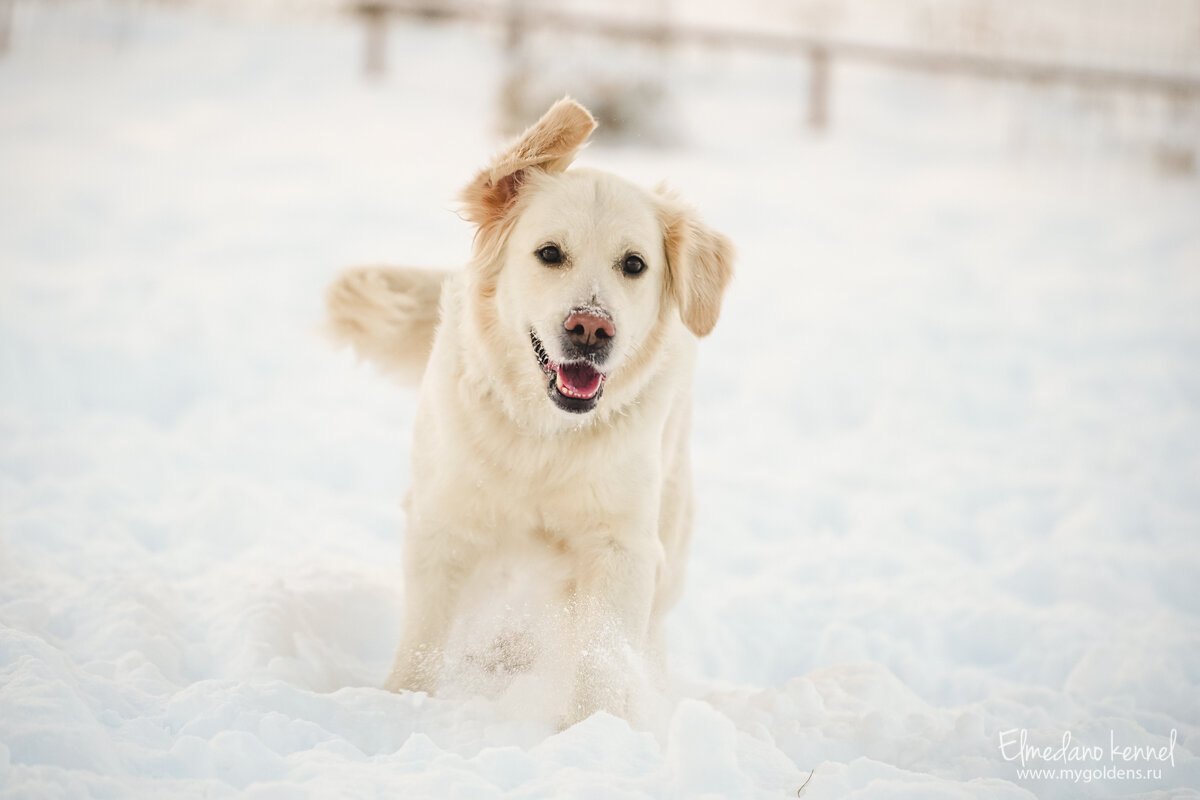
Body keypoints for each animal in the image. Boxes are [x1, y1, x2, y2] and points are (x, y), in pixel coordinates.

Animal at [331, 98, 739, 724]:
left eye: (634, 264)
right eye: (550, 254)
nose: (591, 328)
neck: (545, 437)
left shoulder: (621, 545)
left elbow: (602, 656)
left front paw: (597, 729)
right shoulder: (442, 521)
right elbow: (425, 640)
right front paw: (400, 706)